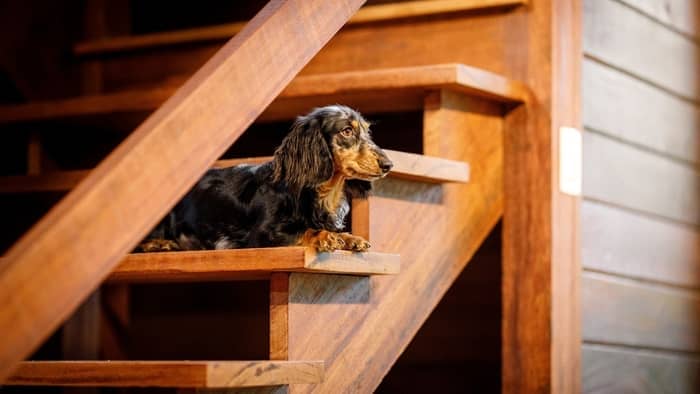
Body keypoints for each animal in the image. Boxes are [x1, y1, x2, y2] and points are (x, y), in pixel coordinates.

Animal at [139, 104, 392, 252]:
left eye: (367, 131)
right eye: (347, 131)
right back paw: (160, 243)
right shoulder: (261, 235)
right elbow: (303, 231)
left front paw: (350, 237)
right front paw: (325, 236)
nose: (388, 165)